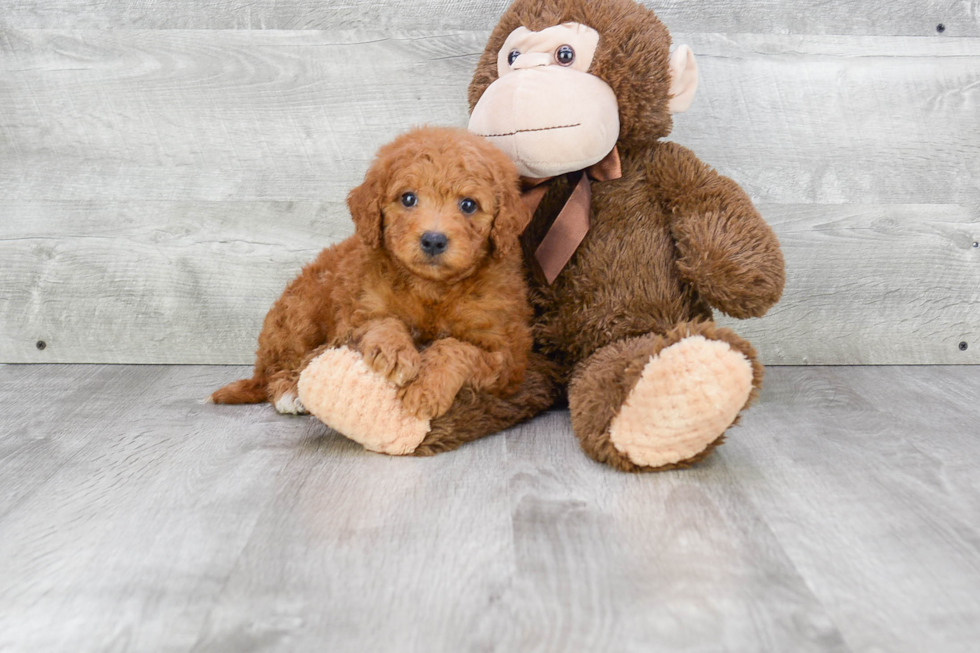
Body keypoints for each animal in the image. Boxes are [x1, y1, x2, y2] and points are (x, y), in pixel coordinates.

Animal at [210, 125, 532, 420]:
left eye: (468, 205)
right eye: (408, 198)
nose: (433, 240)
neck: (431, 288)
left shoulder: (506, 353)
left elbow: (456, 348)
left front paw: (425, 389)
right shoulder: (358, 309)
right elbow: (382, 322)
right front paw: (395, 353)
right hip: (300, 311)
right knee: (281, 367)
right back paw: (289, 392)